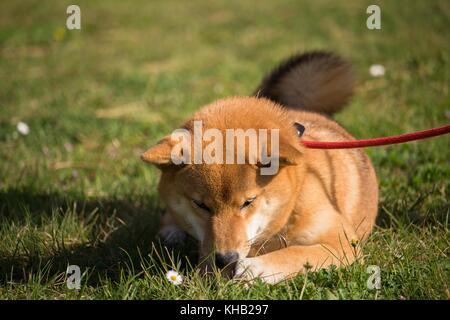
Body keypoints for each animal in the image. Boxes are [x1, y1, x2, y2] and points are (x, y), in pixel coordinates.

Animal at [142, 51, 380, 284]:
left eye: (248, 202)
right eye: (201, 205)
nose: (225, 259)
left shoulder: (343, 244)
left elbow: (296, 254)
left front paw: (255, 268)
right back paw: (172, 233)